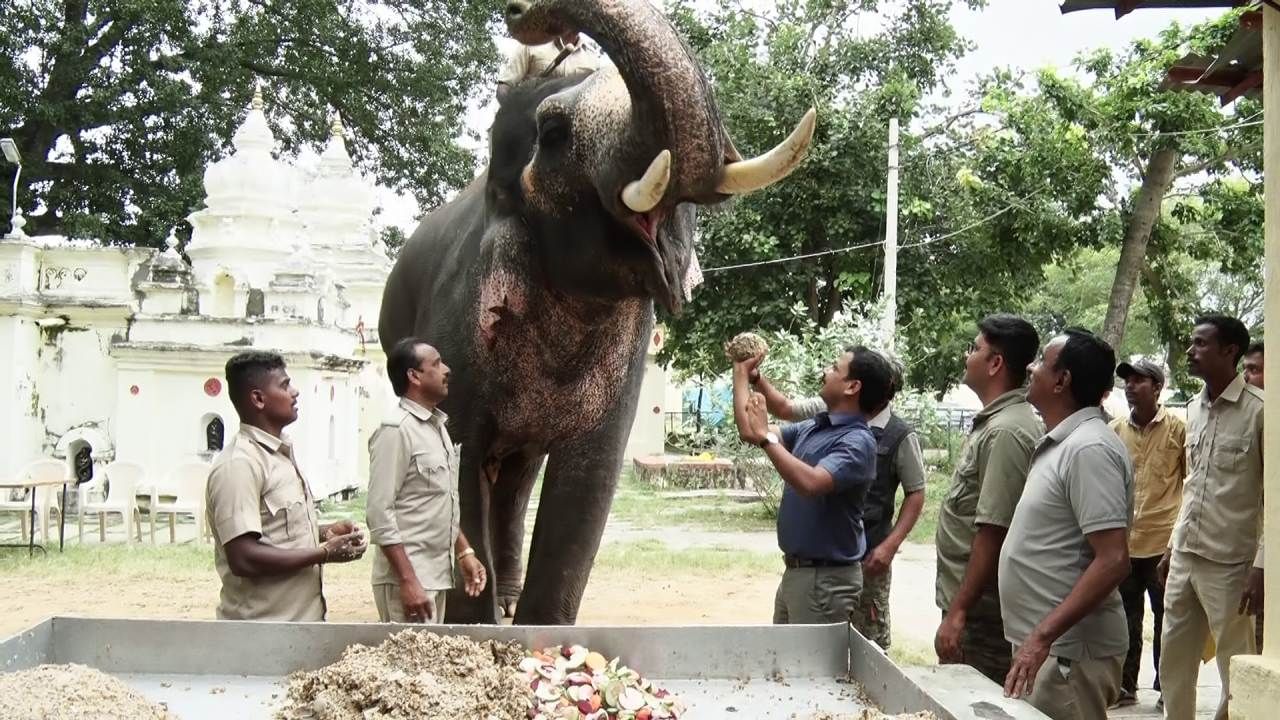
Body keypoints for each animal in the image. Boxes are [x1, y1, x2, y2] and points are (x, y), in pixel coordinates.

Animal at [381, 0, 819, 622]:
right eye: (554, 133)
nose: (522, 13)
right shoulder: (459, 327)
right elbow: (461, 467)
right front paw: (478, 625)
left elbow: (588, 481)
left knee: (518, 475)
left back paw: (508, 598)